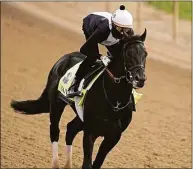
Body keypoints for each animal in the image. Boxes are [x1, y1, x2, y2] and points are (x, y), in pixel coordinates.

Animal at [10, 28, 148, 168]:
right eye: (128, 54)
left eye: (145, 54)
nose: (140, 79)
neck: (116, 101)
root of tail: (62, 60)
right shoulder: (90, 131)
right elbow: (87, 163)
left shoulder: (113, 136)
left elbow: (97, 163)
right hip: (56, 103)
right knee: (55, 131)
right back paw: (56, 164)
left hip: (80, 117)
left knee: (70, 129)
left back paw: (68, 165)